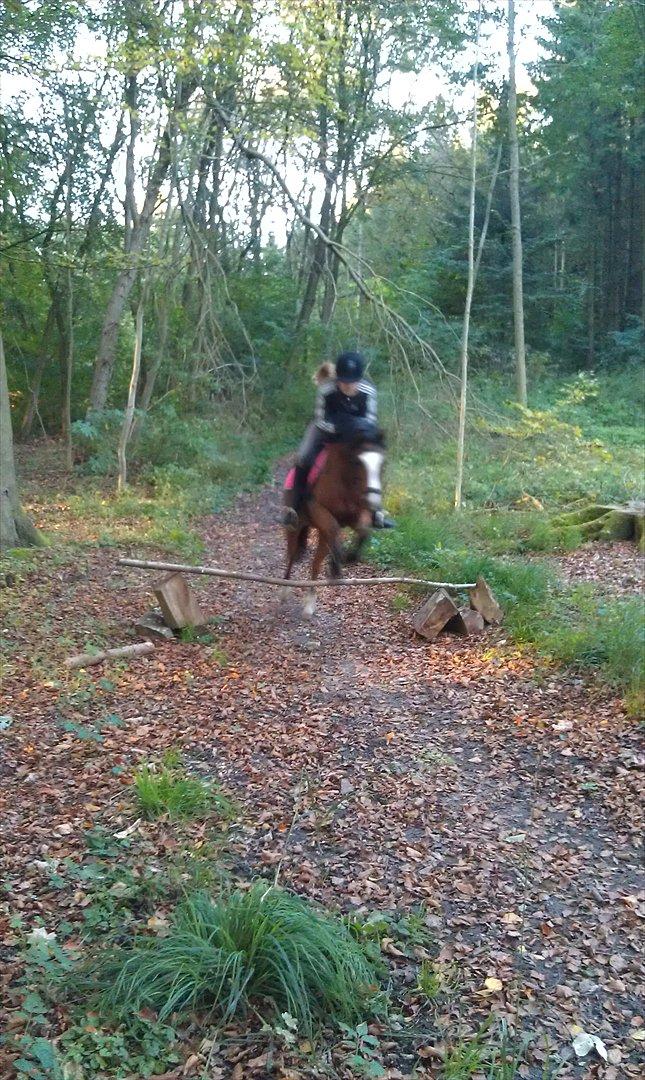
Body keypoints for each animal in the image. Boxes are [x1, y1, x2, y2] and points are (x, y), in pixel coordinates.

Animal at [282, 423, 386, 616]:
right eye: (357, 462)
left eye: (382, 464)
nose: (373, 502)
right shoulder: (318, 509)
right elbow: (333, 528)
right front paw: (336, 565)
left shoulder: (355, 516)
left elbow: (363, 531)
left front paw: (348, 558)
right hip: (295, 526)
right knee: (291, 555)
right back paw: (284, 589)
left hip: (320, 536)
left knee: (316, 563)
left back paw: (310, 603)